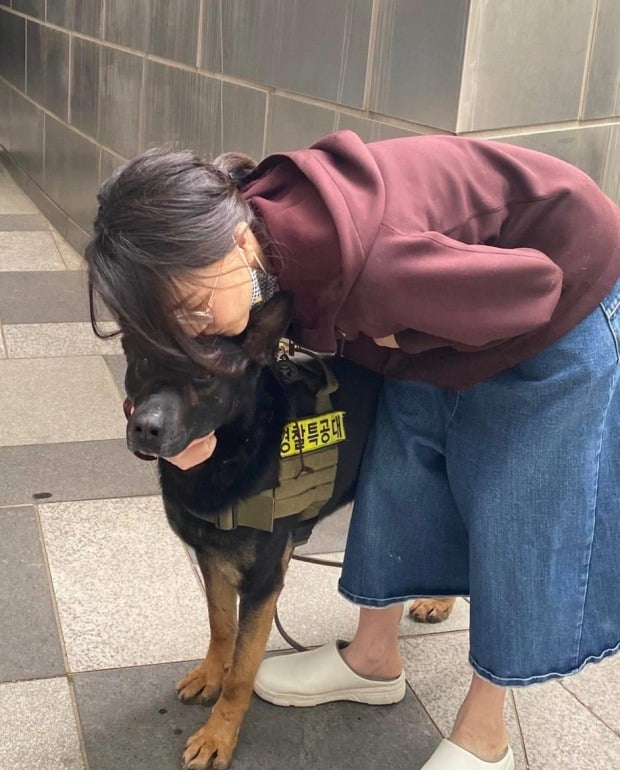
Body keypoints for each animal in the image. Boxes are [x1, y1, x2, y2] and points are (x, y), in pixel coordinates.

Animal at [123, 292, 452, 764]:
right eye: (145, 361)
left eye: (205, 375)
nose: (145, 429)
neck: (230, 451)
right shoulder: (211, 558)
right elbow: (221, 626)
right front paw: (211, 673)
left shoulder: (263, 584)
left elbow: (243, 670)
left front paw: (218, 735)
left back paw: (440, 600)